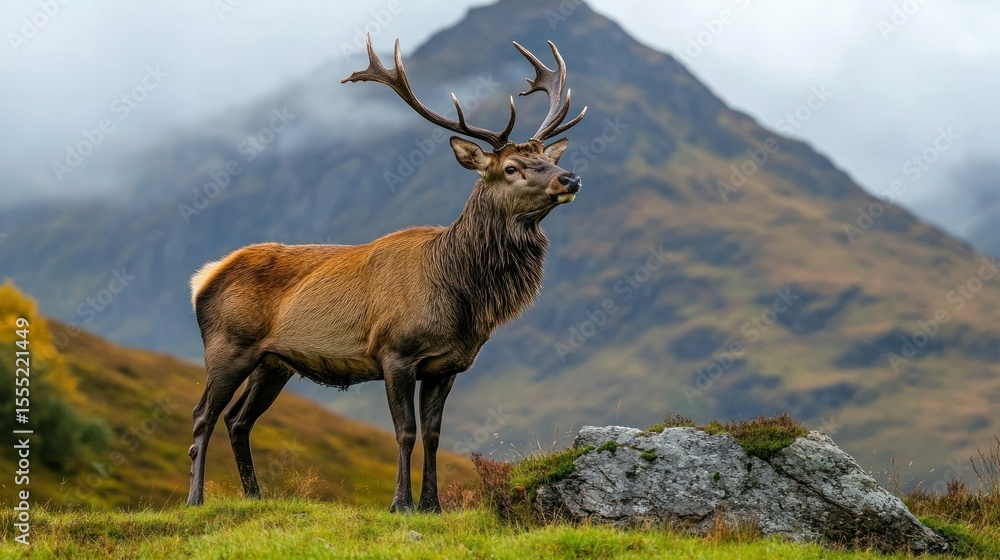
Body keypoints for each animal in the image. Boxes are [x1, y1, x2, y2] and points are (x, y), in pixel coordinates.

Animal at [186, 35, 586, 512]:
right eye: (511, 168)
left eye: (547, 157)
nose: (570, 178)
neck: (461, 294)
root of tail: (203, 278)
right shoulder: (394, 352)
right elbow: (406, 432)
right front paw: (401, 503)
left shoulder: (447, 365)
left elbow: (433, 434)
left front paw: (433, 505)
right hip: (227, 346)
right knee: (204, 414)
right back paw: (195, 499)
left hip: (273, 362)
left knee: (238, 419)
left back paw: (255, 496)